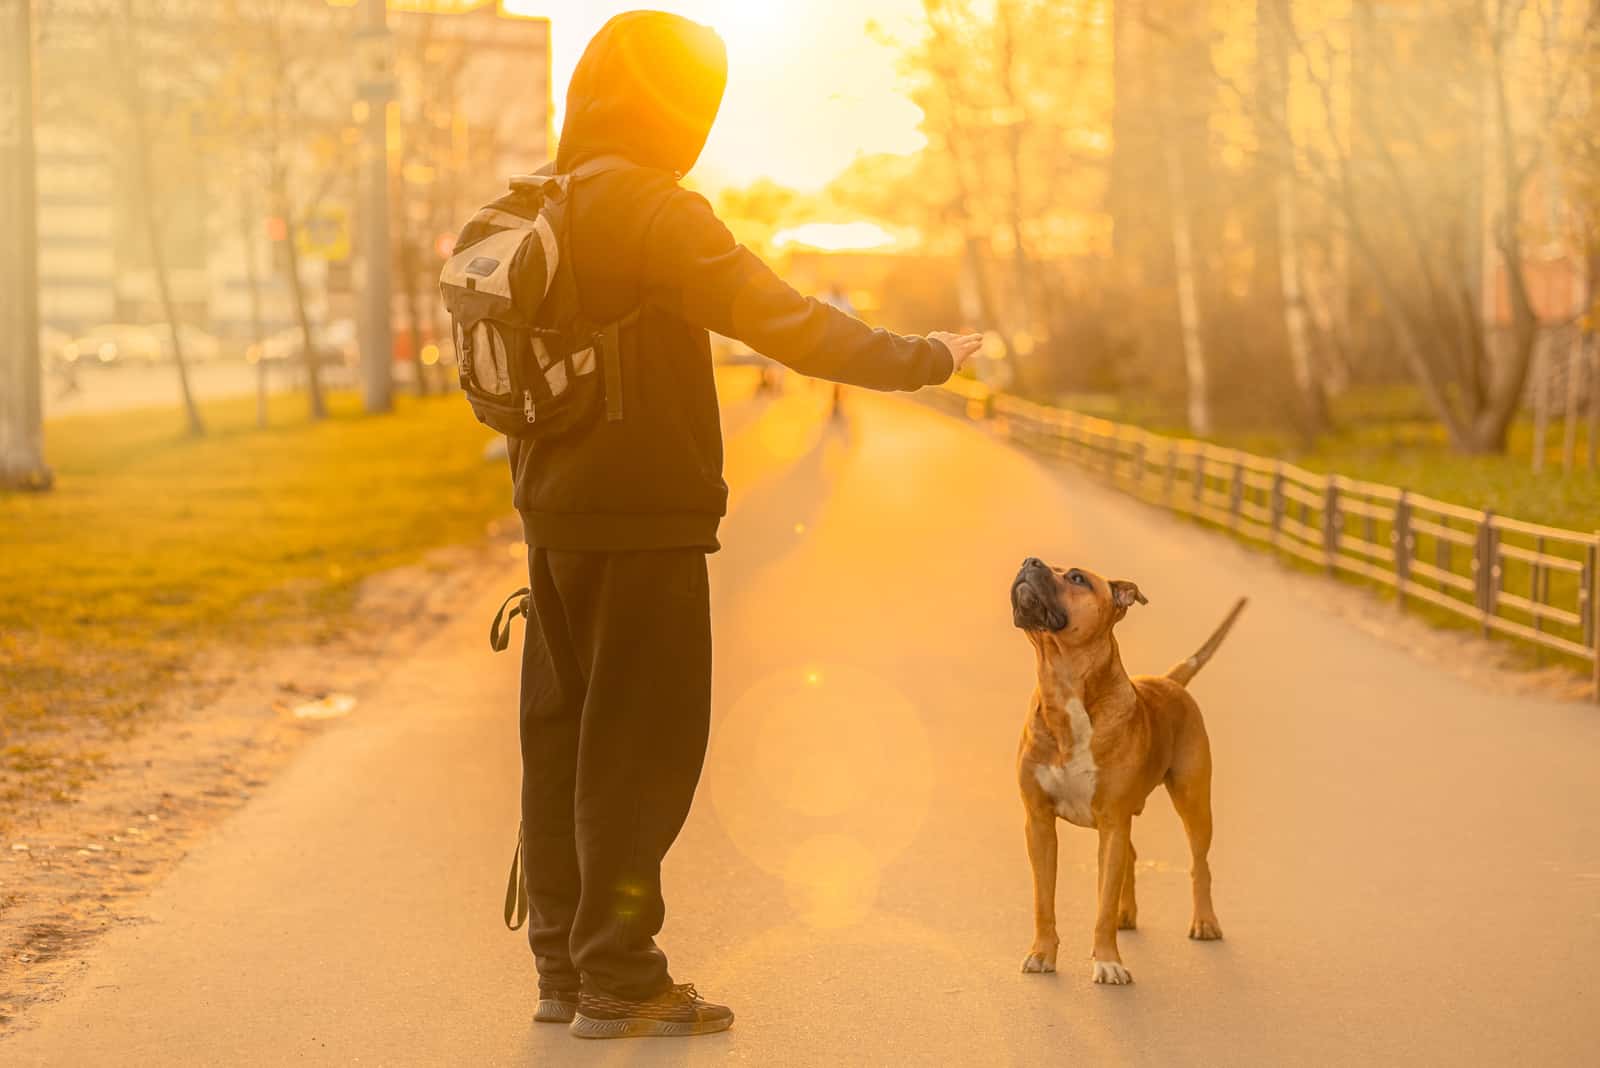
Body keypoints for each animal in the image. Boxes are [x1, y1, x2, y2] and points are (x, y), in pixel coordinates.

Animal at [1004, 559, 1241, 984]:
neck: (1065, 685)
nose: (1030, 561)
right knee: (1131, 855)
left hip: (1194, 802)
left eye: (1077, 578)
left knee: (1199, 865)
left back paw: (1204, 921)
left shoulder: (1112, 821)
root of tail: (1169, 680)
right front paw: (1042, 953)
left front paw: (1108, 960)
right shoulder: (1040, 823)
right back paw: (1125, 914)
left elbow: (1102, 903)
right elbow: (1043, 900)